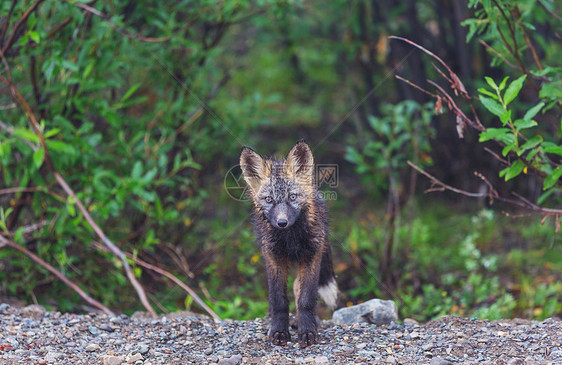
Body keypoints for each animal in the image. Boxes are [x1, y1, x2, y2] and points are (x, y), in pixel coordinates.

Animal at [237, 139, 336, 346]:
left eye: (292, 197)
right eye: (269, 199)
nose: (282, 222)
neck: (291, 239)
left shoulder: (311, 256)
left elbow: (306, 300)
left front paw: (307, 331)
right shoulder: (274, 258)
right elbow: (278, 300)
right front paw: (278, 331)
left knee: (298, 291)